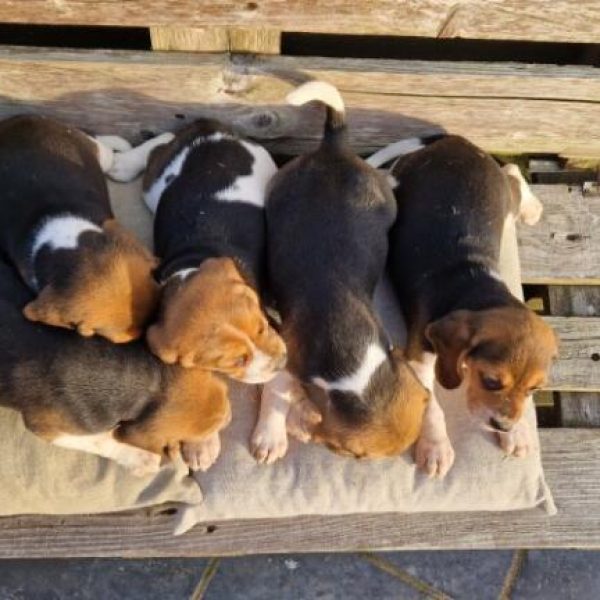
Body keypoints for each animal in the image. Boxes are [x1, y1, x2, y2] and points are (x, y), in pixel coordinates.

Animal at [109, 120, 288, 390]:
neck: (189, 266)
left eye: (261, 328)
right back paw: (125, 163)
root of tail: (212, 132)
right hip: (155, 188)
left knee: (162, 142)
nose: (280, 364)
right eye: (237, 361)